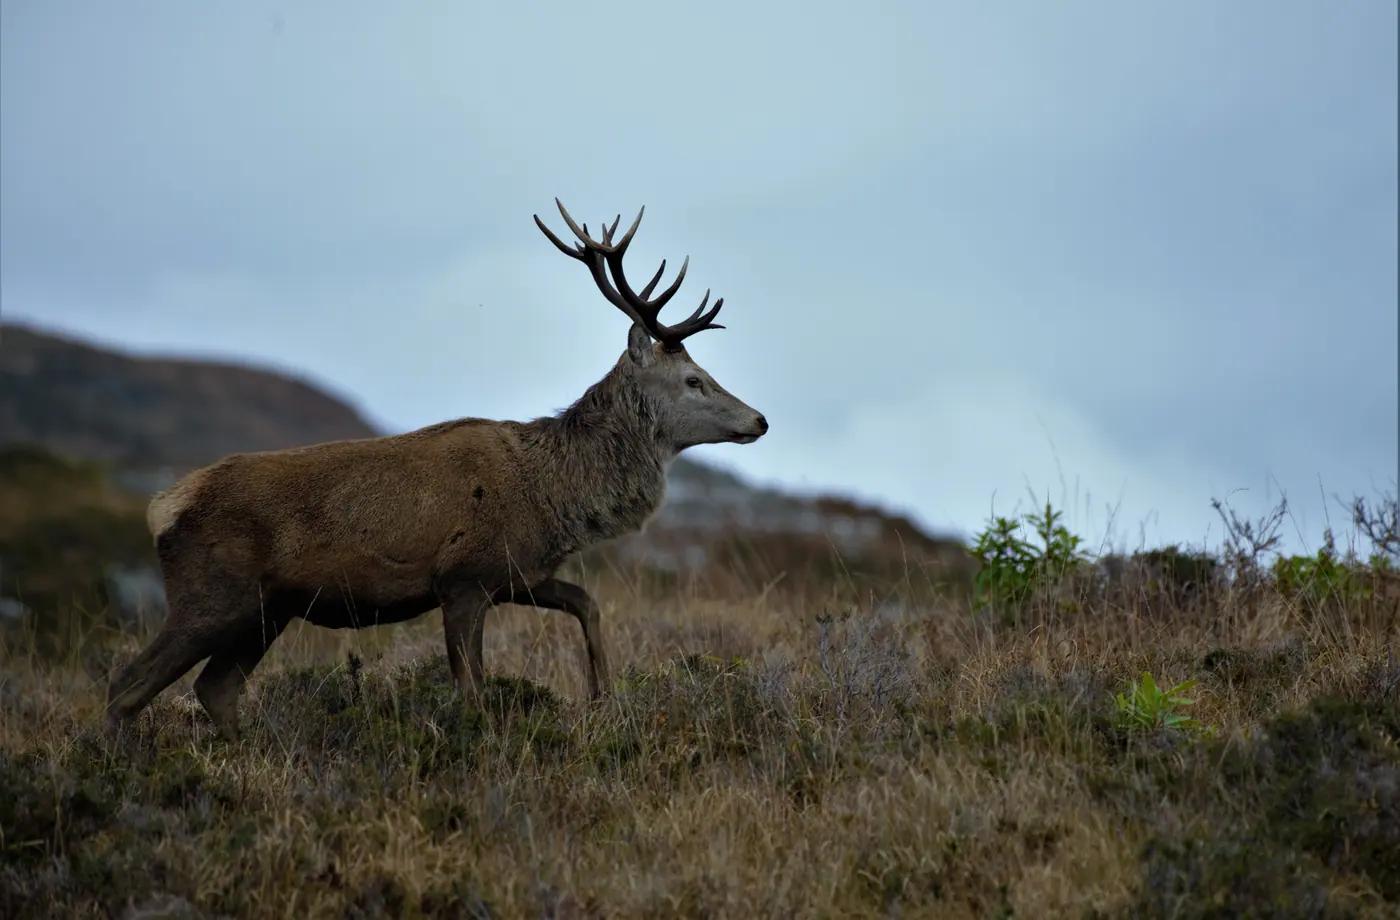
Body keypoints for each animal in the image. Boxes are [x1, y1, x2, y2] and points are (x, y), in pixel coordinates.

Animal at [105, 201, 768, 739]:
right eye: (694, 380)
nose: (759, 420)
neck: (552, 496)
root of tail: (164, 506)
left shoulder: (516, 573)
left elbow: (587, 602)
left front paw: (604, 697)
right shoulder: (463, 580)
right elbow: (471, 693)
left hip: (267, 611)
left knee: (215, 687)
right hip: (211, 594)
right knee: (127, 684)